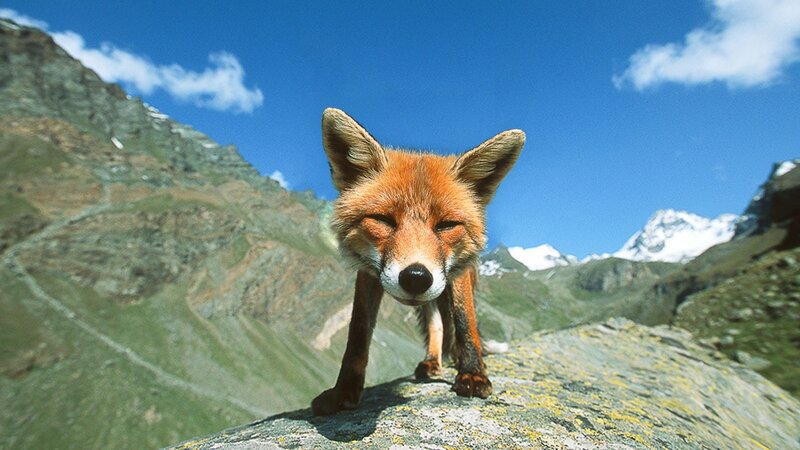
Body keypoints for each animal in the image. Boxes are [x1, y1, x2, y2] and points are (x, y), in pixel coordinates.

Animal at [312, 108, 525, 416]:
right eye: (383, 220)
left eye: (446, 225)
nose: (416, 277)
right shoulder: (368, 274)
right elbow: (358, 332)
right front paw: (344, 391)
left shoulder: (457, 273)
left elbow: (465, 321)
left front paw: (473, 373)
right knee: (436, 325)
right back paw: (432, 361)